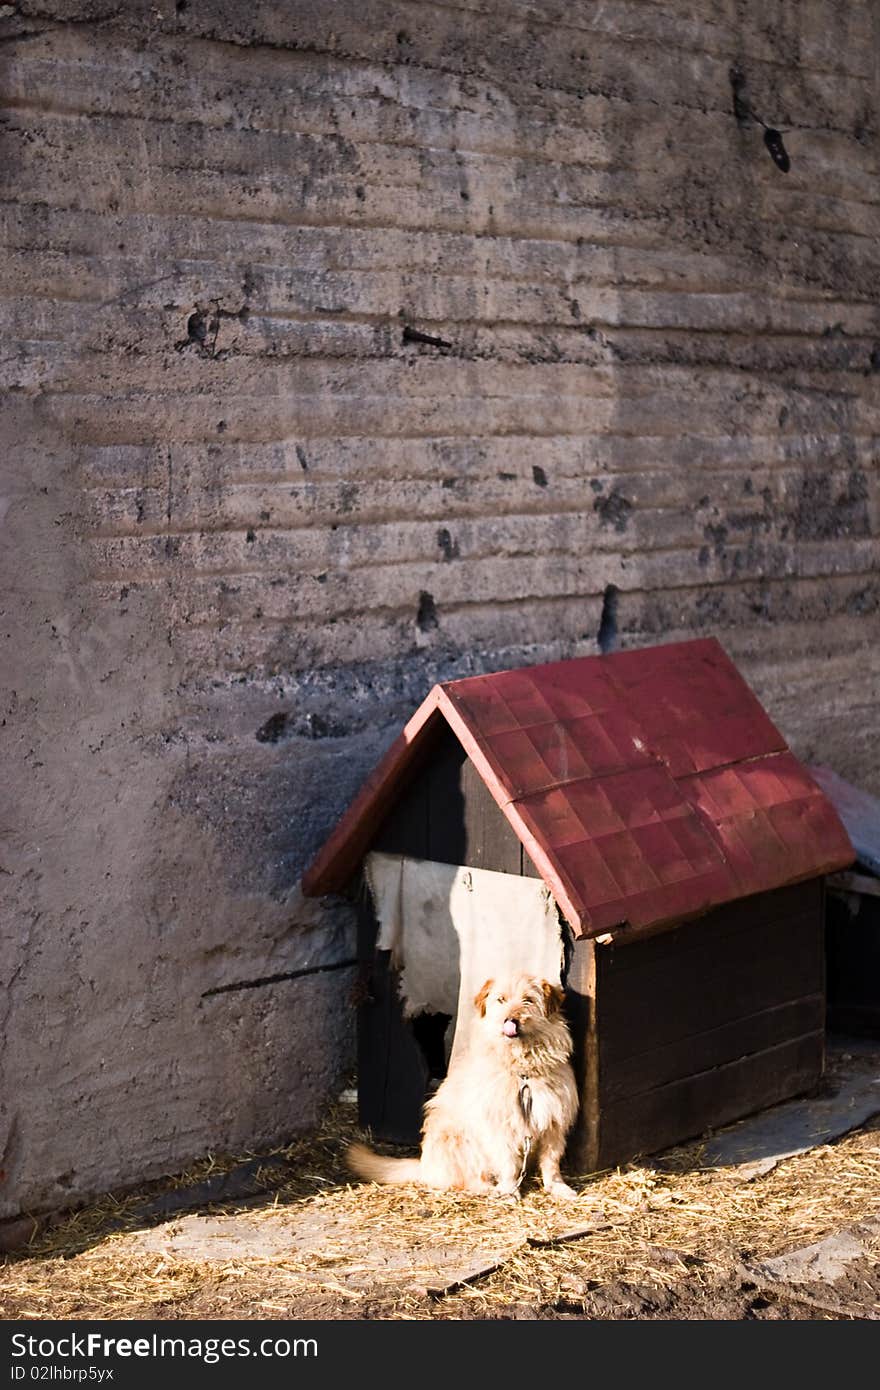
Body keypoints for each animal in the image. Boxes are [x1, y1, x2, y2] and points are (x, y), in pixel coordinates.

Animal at [346, 978, 581, 1195]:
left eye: (528, 1000)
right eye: (501, 999)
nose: (510, 1020)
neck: (523, 1072)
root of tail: (426, 1165)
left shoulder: (554, 1124)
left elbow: (551, 1161)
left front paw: (557, 1187)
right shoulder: (500, 1127)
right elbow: (508, 1163)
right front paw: (508, 1190)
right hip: (458, 1139)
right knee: (466, 1177)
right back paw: (486, 1187)